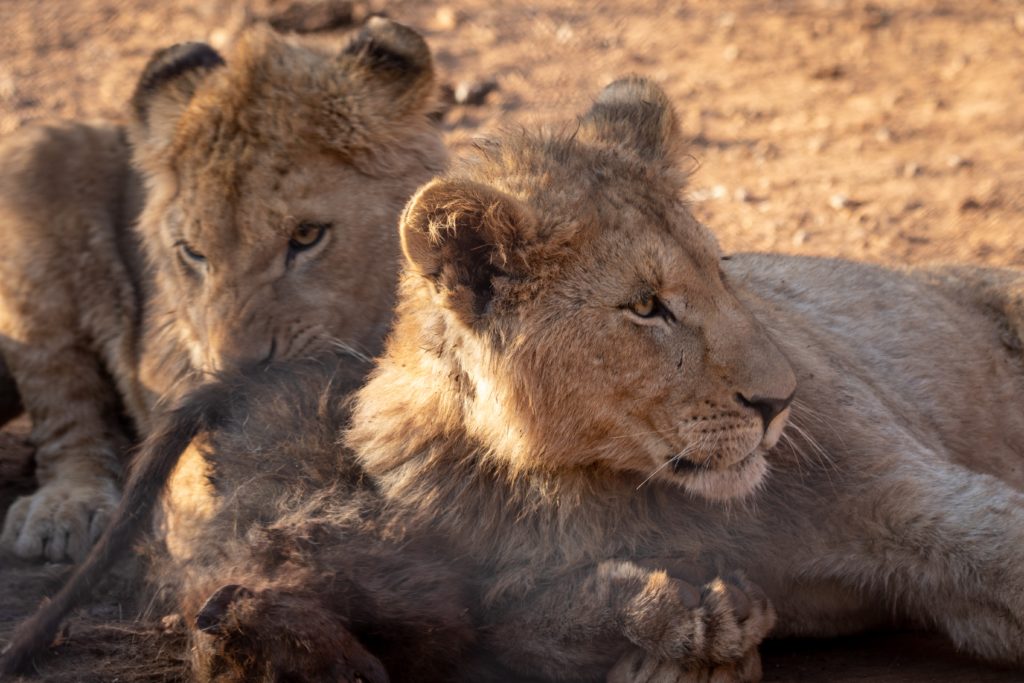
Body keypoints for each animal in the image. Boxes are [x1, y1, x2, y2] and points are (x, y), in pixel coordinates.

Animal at [1, 15, 448, 565]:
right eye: (194, 253)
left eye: (307, 236)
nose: (236, 374)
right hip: (36, 153)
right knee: (64, 408)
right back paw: (65, 507)